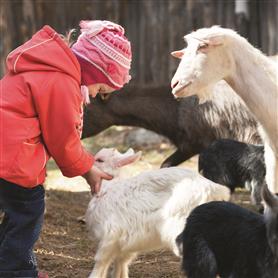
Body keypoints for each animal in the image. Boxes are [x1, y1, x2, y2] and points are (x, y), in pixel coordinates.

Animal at [86, 148, 230, 278]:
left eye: (100, 160)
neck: (109, 188)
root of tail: (213, 188)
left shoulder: (110, 237)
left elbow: (100, 263)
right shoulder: (124, 246)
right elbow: (120, 265)